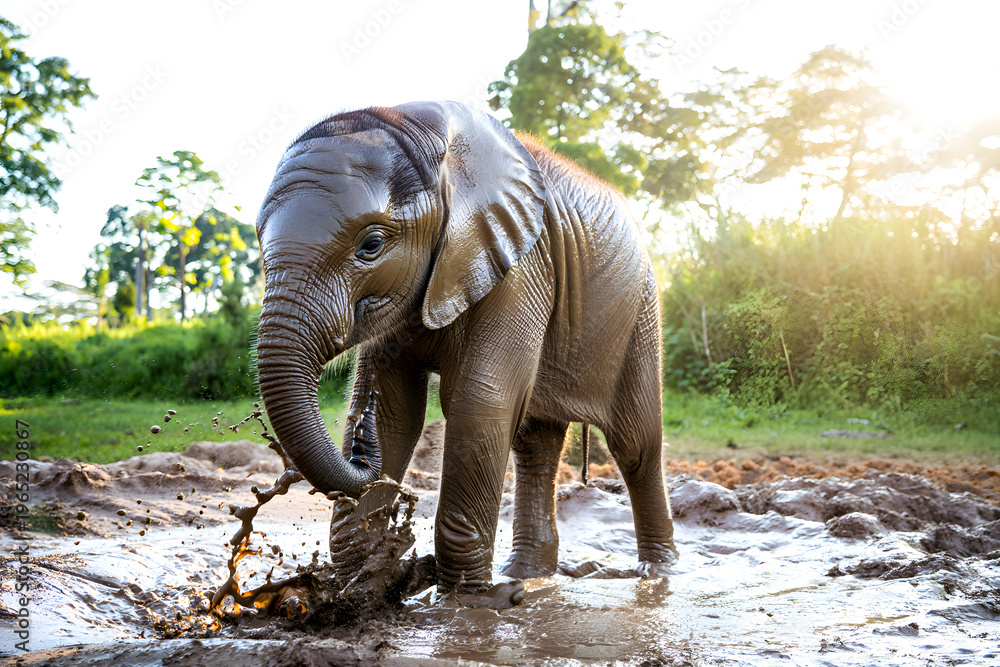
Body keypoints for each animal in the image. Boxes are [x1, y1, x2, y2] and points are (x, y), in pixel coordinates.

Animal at [254, 101, 676, 598]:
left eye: (371, 245)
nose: (359, 437)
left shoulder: (523, 263)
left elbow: (480, 401)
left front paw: (464, 602)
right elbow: (398, 412)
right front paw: (359, 587)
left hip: (640, 312)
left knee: (635, 445)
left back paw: (657, 574)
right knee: (534, 443)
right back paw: (527, 576)